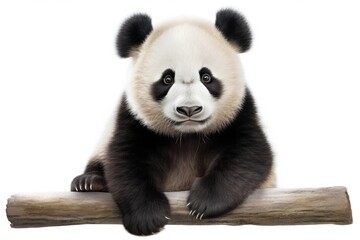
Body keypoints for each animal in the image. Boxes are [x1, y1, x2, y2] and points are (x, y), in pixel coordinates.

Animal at [71, 8, 276, 234]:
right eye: (167, 79)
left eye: (206, 77)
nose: (189, 109)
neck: (187, 135)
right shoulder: (133, 117)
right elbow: (125, 160)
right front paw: (148, 217)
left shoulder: (239, 112)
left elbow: (249, 154)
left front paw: (203, 203)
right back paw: (89, 181)